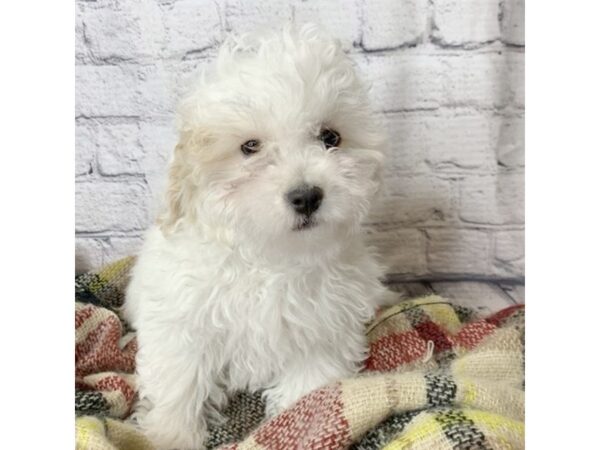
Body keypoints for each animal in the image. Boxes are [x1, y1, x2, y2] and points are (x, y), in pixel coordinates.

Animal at [124, 23, 392, 450]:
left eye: (330, 137)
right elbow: (179, 382)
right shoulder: (182, 322)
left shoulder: (321, 326)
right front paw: (171, 434)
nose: (307, 196)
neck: (271, 257)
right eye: (249, 147)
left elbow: (309, 383)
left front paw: (302, 422)